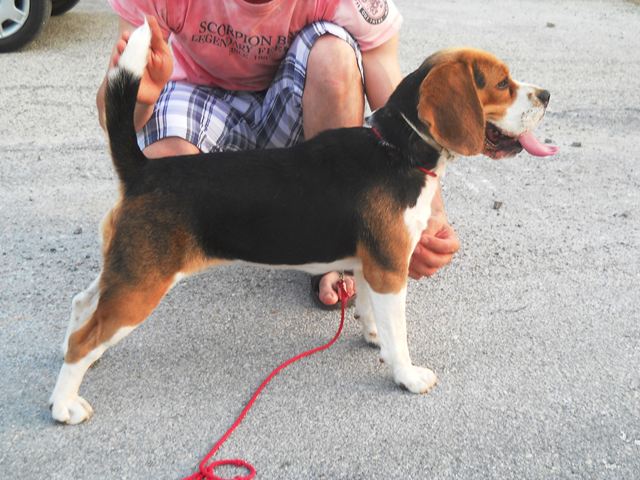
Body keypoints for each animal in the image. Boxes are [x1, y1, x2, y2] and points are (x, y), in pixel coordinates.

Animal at [50, 21, 556, 424]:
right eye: (502, 83)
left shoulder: (370, 266)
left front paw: (374, 337)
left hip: (126, 269)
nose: (547, 94)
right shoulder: (391, 270)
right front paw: (407, 374)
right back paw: (64, 405)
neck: (397, 149)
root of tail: (142, 170)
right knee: (84, 338)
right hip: (142, 284)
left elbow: (370, 310)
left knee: (81, 307)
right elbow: (401, 333)